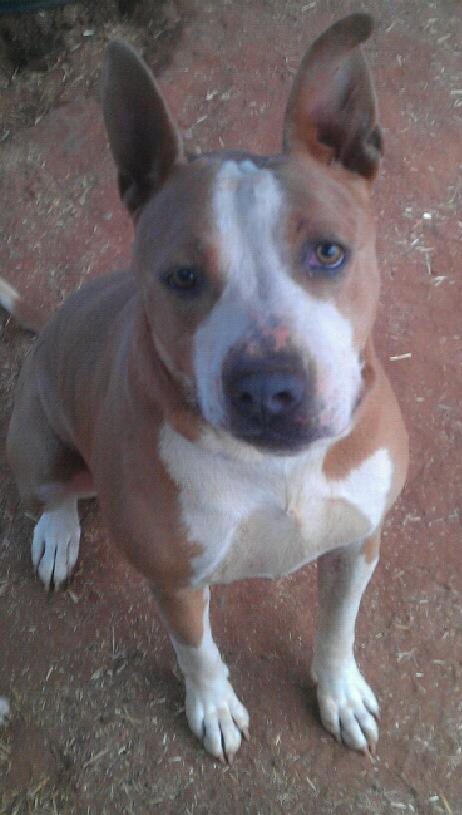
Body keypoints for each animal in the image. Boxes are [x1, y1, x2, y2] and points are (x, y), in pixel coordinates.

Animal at [2, 14, 408, 764]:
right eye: (183, 276)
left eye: (329, 252)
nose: (270, 389)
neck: (277, 469)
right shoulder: (175, 579)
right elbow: (197, 652)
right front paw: (214, 708)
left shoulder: (358, 542)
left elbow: (338, 627)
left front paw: (340, 694)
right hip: (38, 445)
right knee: (54, 494)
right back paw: (56, 535)